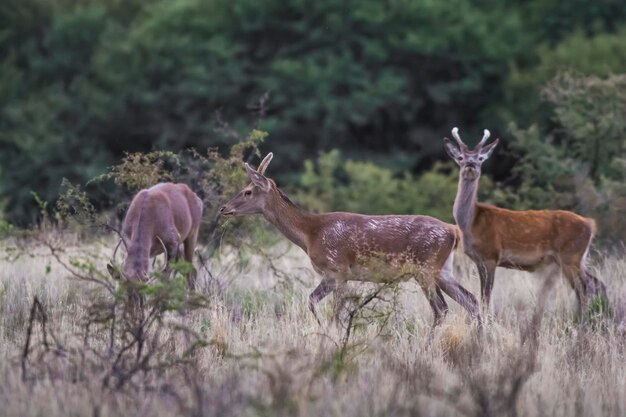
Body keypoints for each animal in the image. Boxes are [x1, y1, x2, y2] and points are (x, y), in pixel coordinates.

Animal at [217, 151, 480, 326]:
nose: (223, 208)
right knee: (472, 300)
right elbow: (327, 308)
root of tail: (453, 232)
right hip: (443, 270)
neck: (310, 234)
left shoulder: (336, 269)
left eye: (247, 191)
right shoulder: (341, 275)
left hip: (425, 268)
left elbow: (323, 307)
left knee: (442, 309)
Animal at [438, 125, 604, 314]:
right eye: (460, 157)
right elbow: (483, 298)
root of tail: (590, 224)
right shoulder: (479, 260)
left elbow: (486, 298)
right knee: (596, 284)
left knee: (585, 288)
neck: (471, 223)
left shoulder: (491, 255)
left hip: (571, 255)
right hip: (578, 258)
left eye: (480, 158)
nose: (470, 164)